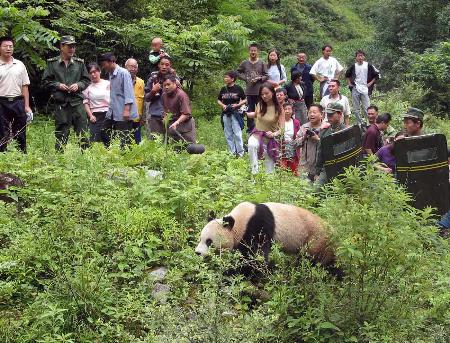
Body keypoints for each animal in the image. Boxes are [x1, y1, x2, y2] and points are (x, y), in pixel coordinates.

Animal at [193, 202, 334, 268]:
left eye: (209, 241)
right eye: (200, 239)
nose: (197, 253)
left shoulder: (258, 227)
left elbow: (257, 257)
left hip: (316, 240)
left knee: (311, 260)